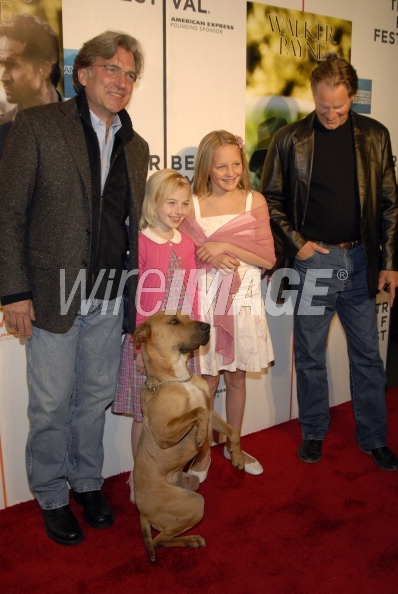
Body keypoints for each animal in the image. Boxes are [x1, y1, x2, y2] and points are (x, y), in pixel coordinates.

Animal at [133, 310, 246, 560]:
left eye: (186, 316)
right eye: (173, 321)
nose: (207, 326)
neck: (179, 377)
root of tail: (142, 512)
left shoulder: (211, 410)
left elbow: (231, 430)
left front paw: (237, 456)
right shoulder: (164, 434)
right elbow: (197, 412)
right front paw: (200, 437)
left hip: (191, 487)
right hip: (194, 504)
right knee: (159, 541)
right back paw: (192, 540)